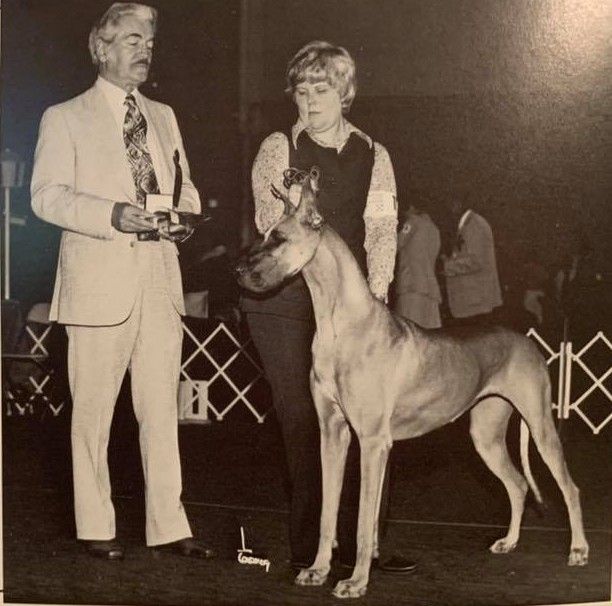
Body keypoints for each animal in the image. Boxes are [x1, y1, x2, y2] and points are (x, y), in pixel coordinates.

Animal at [235, 167, 589, 599]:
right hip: (485, 433)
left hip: (540, 426)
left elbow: (362, 521)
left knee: (569, 488)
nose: (238, 271)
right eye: (265, 233)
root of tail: (526, 341)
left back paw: (578, 550)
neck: (339, 323)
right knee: (519, 484)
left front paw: (355, 581)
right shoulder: (332, 433)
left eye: (279, 239)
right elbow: (328, 512)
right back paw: (509, 541)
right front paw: (318, 569)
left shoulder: (372, 442)